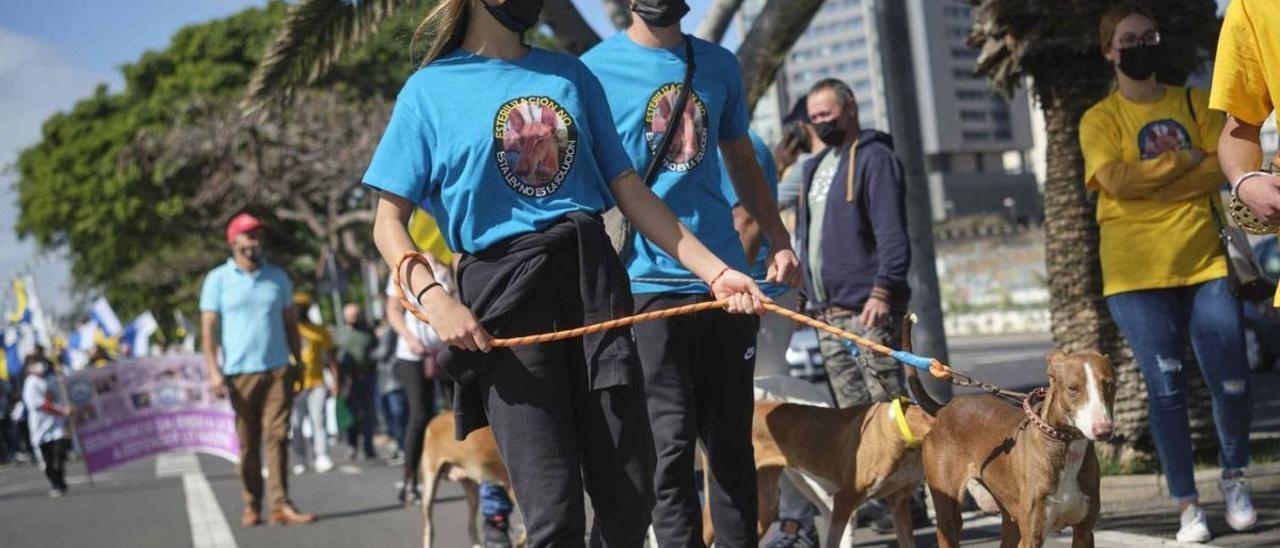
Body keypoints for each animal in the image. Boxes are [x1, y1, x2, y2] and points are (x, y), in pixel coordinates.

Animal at [926, 350, 1116, 548]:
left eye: (1109, 385)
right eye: (1073, 388)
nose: (1103, 430)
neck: (1065, 447)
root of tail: (944, 409)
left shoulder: (1084, 532)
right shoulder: (1032, 537)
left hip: (1010, 517)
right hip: (949, 512)